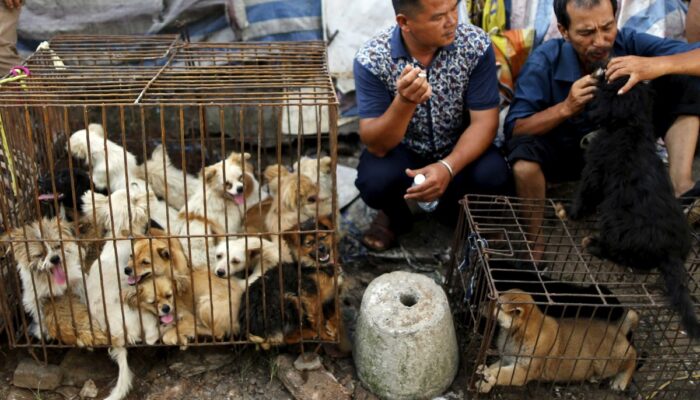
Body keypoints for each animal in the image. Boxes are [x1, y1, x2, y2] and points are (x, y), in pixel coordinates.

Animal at [476, 290, 640, 392]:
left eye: (497, 304)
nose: (479, 304)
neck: (515, 334)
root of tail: (617, 328)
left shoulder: (524, 371)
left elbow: (501, 373)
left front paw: (487, 375)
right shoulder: (508, 359)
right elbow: (495, 367)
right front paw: (483, 382)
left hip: (607, 362)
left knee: (633, 355)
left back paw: (620, 381)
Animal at [556, 72, 700, 338]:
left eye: (610, 82)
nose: (601, 70)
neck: (631, 125)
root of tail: (671, 253)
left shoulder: (595, 168)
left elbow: (585, 194)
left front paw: (569, 212)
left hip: (616, 226)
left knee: (618, 253)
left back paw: (593, 244)